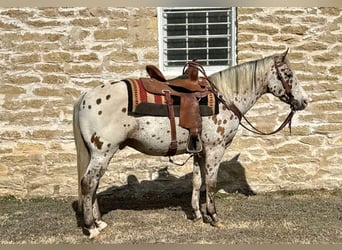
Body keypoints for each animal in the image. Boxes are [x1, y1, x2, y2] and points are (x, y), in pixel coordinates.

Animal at [73, 49, 310, 239]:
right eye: (288, 75)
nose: (304, 101)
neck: (225, 98)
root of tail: (85, 96)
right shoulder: (215, 149)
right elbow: (211, 183)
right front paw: (213, 217)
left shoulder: (199, 151)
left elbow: (197, 182)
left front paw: (197, 214)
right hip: (102, 152)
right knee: (88, 183)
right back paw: (92, 228)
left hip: (97, 154)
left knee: (93, 184)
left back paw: (98, 222)